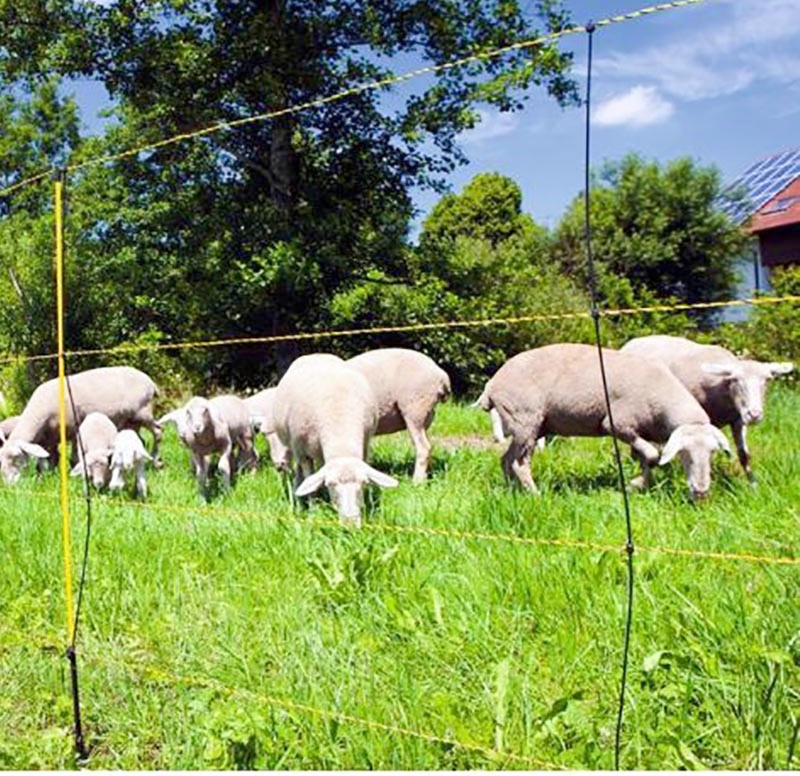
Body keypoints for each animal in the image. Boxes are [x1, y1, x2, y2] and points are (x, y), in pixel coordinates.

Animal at [0, 366, 161, 485]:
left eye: (16, 457)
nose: (9, 484)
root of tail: (150, 382)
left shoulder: (74, 430)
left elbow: (73, 459)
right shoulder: (50, 438)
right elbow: (49, 460)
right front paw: (45, 478)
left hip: (143, 412)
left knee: (158, 431)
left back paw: (157, 462)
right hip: (131, 420)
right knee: (141, 439)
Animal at [272, 354, 399, 527]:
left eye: (363, 483)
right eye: (331, 484)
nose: (350, 523)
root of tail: (316, 354)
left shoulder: (365, 447)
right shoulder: (304, 454)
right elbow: (311, 483)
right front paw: (313, 510)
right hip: (294, 445)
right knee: (299, 470)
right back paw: (298, 494)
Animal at [345, 348, 451, 483]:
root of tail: (441, 374)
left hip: (414, 409)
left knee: (424, 447)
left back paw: (417, 482)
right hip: (425, 414)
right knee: (428, 446)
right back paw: (427, 477)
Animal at [476, 343, 731, 500]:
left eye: (712, 453)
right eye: (683, 455)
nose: (701, 494)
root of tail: (492, 384)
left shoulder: (639, 431)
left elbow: (645, 459)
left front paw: (639, 483)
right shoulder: (618, 424)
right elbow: (653, 456)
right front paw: (634, 484)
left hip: (529, 426)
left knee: (506, 460)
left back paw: (513, 490)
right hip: (525, 419)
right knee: (519, 462)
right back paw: (535, 494)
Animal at [620, 335, 793, 482]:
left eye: (767, 380)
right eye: (736, 380)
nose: (754, 414)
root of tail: (633, 342)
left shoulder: (738, 419)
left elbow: (744, 455)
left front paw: (753, 486)